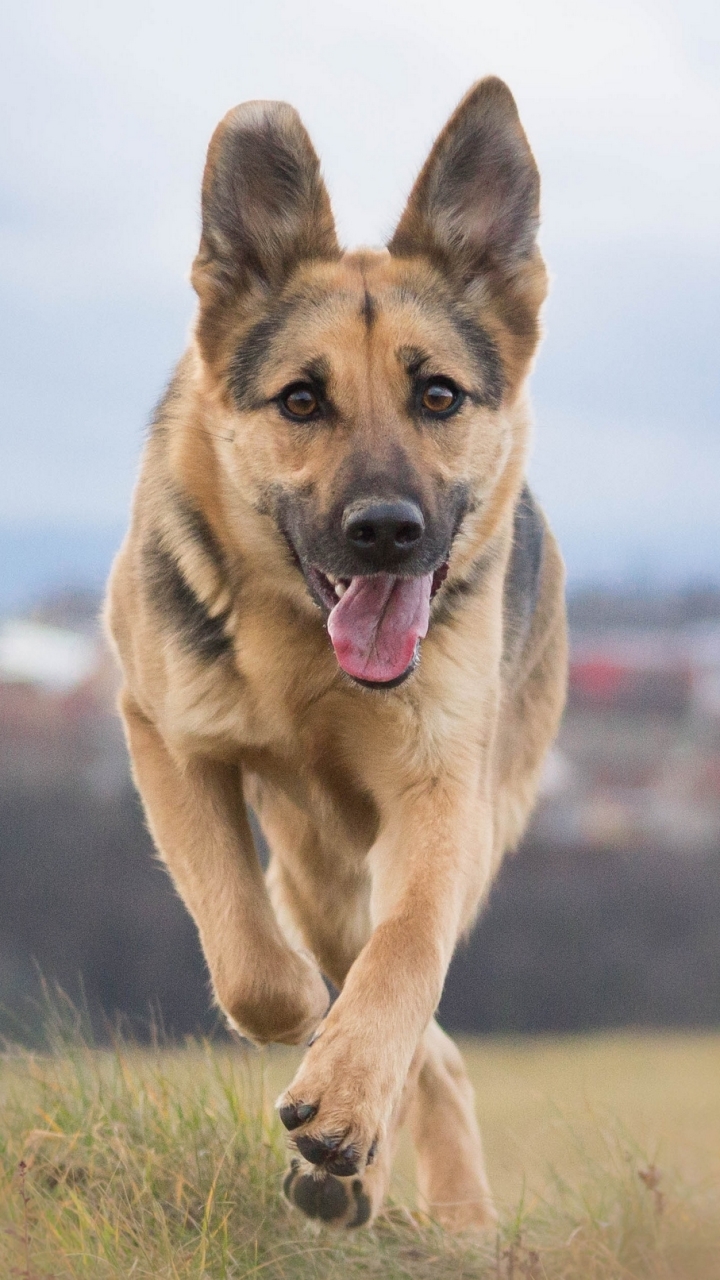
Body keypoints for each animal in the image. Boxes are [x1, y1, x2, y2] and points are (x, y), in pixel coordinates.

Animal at [105, 77, 566, 1228]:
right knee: (377, 996)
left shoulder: (440, 799)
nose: (387, 532)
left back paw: (423, 1194)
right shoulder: (166, 739)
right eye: (301, 400)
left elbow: (403, 961)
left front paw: (348, 1100)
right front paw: (306, 1035)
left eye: (438, 394)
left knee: (420, 1009)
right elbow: (253, 959)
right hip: (317, 872)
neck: (310, 669)